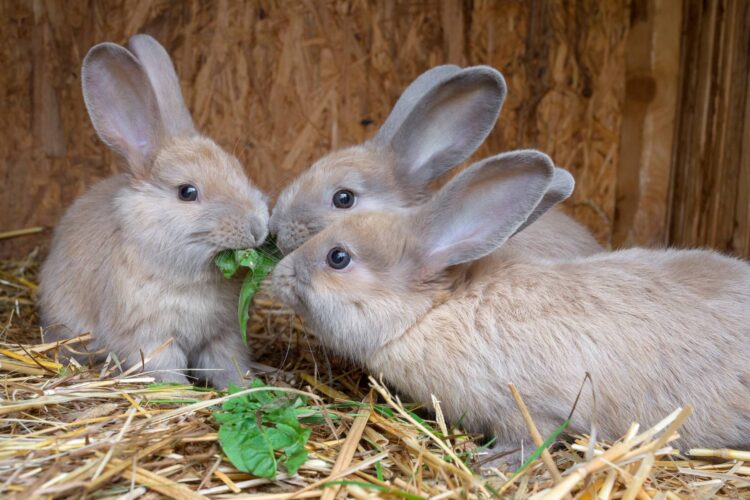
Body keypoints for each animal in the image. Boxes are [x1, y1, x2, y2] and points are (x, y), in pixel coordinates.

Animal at [38, 35, 268, 388]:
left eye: (238, 170)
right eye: (187, 192)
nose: (257, 227)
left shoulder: (222, 336)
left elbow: (230, 366)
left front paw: (248, 388)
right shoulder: (151, 338)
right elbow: (166, 371)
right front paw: (181, 392)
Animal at [270, 149, 750, 459]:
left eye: (338, 257)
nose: (278, 274)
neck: (430, 313)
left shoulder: (528, 407)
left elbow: (529, 437)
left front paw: (490, 461)